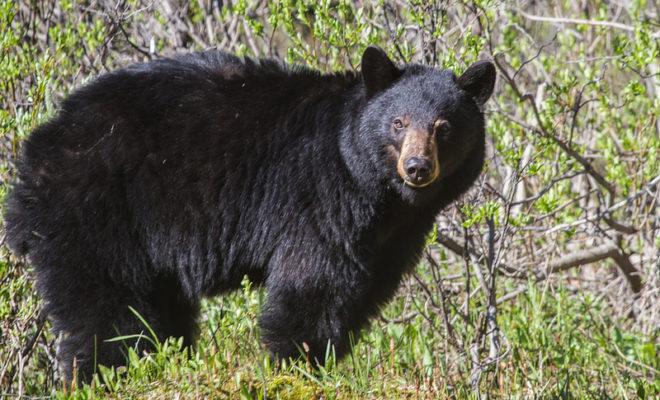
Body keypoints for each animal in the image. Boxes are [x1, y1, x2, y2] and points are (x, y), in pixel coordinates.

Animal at [4, 45, 495, 383]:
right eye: (398, 123)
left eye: (444, 127)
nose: (417, 167)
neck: (377, 193)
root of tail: (35, 152)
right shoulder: (320, 199)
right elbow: (310, 284)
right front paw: (297, 365)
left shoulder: (391, 239)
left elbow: (362, 292)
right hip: (97, 213)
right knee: (105, 309)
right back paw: (104, 374)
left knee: (158, 309)